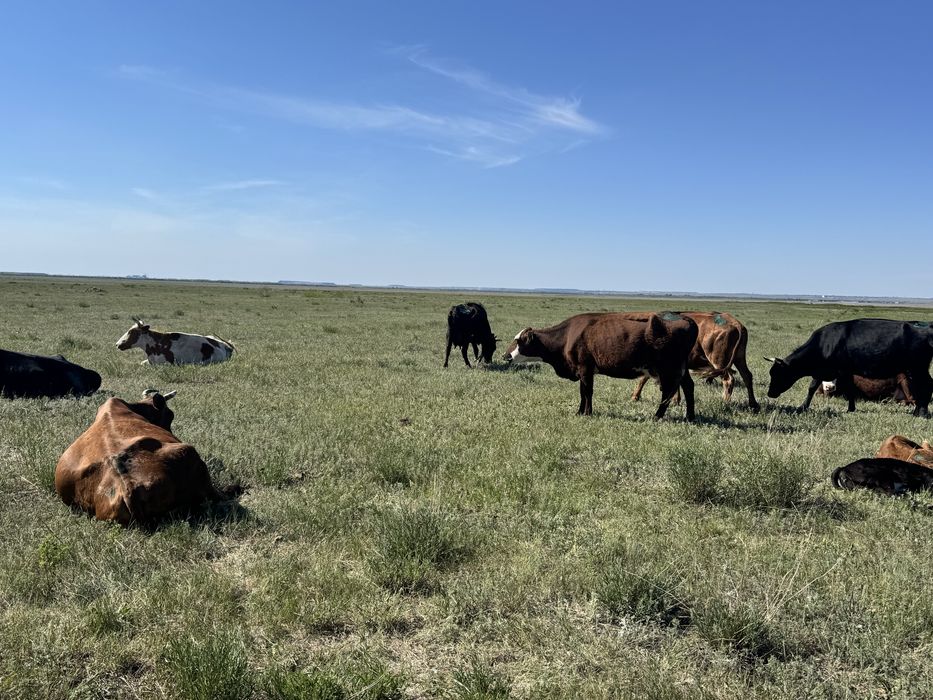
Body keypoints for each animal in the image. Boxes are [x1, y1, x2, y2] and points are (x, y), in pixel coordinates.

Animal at [503, 311, 698, 420]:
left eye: (519, 341)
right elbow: (582, 392)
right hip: (680, 369)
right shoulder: (582, 371)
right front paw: (580, 412)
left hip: (669, 369)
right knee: (688, 387)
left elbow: (588, 392)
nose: (505, 356)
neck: (568, 336)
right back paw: (689, 416)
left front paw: (587, 413)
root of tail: (685, 318)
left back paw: (657, 416)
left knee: (668, 392)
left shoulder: (585, 369)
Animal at [630, 311, 759, 411]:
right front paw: (676, 400)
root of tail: (735, 323)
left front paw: (635, 396)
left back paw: (725, 402)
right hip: (739, 359)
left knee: (729, 379)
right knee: (747, 376)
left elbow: (643, 379)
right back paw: (753, 404)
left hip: (719, 362)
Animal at [765, 319, 933, 417]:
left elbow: (838, 388)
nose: (770, 393)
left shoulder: (840, 371)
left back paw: (922, 413)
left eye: (778, 373)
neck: (824, 344)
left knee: (925, 386)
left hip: (917, 368)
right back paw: (918, 411)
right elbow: (815, 388)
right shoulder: (828, 371)